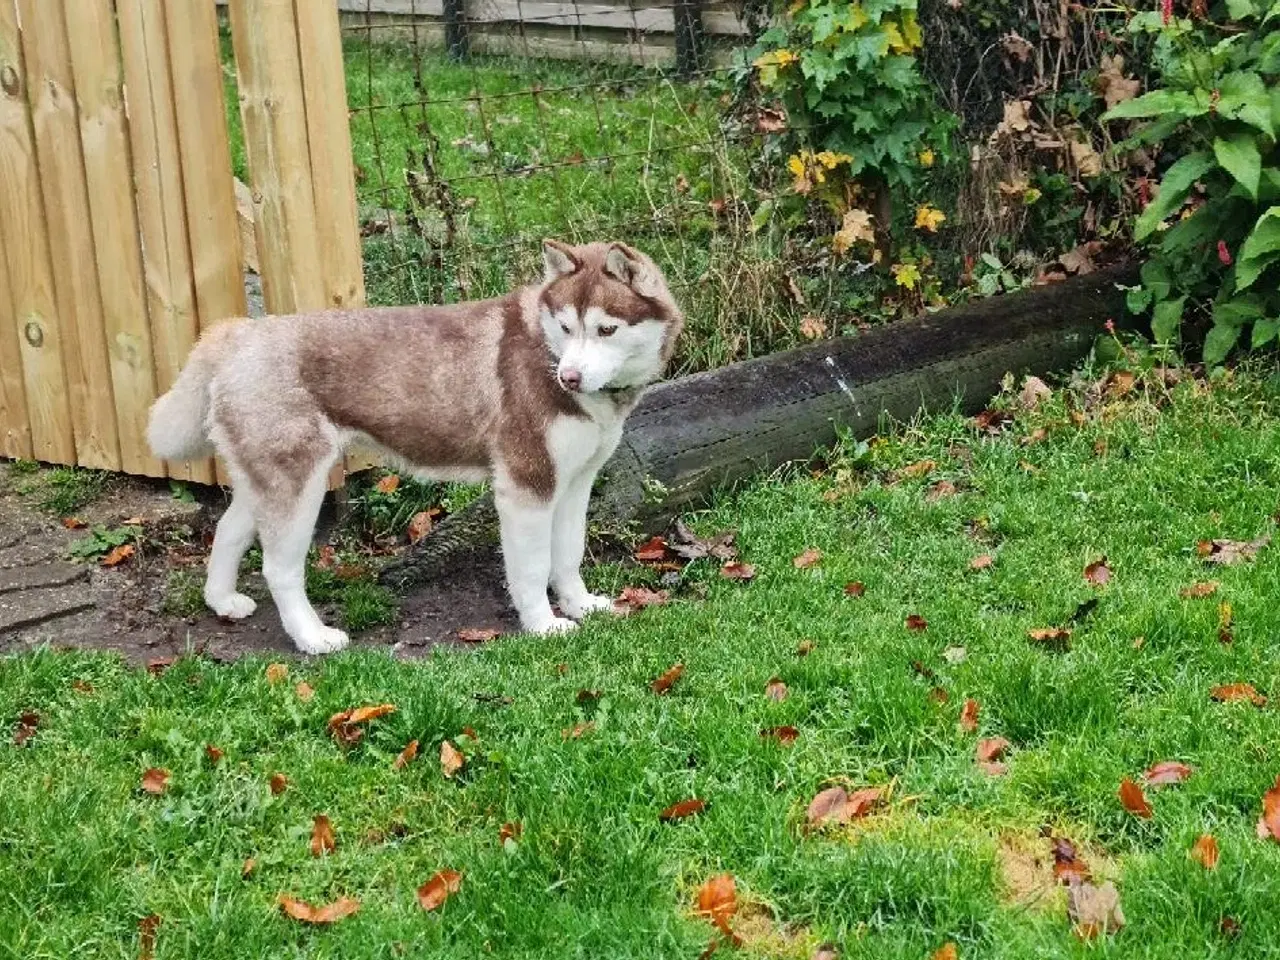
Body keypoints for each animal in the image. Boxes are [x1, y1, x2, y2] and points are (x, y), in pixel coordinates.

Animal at [146, 244, 686, 660]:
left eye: (605, 330)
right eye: (567, 327)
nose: (568, 377)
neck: (544, 349)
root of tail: (235, 331)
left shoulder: (574, 482)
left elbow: (568, 554)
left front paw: (579, 604)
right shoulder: (526, 484)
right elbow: (532, 567)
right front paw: (542, 625)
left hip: (266, 478)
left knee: (227, 529)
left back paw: (222, 601)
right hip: (300, 485)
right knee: (279, 568)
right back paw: (313, 638)